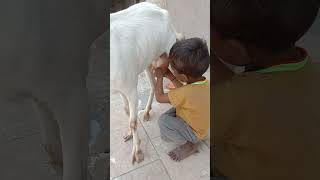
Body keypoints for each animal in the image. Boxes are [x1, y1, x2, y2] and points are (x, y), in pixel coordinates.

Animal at [110, 2, 180, 164]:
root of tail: (160, 9)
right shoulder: (119, 89)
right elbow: (126, 110)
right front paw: (129, 134)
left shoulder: (131, 88)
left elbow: (133, 121)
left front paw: (138, 153)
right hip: (148, 61)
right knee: (154, 85)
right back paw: (147, 111)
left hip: (170, 51)